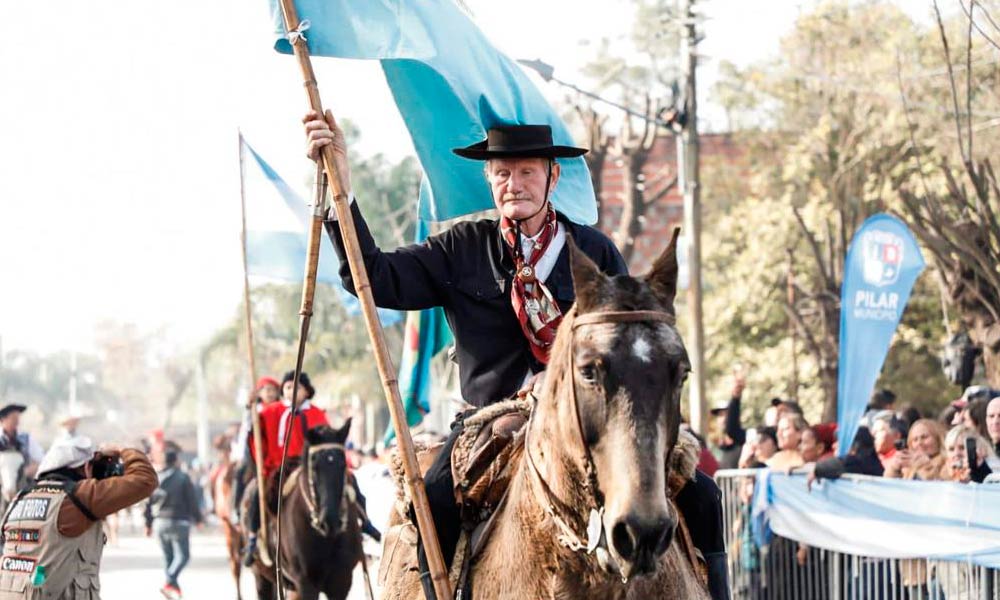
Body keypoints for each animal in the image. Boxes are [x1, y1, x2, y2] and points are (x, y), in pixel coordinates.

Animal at [250, 418, 364, 600]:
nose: (330, 521)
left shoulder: (342, 581)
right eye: (314, 466)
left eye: (343, 464)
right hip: (262, 577)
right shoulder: (306, 583)